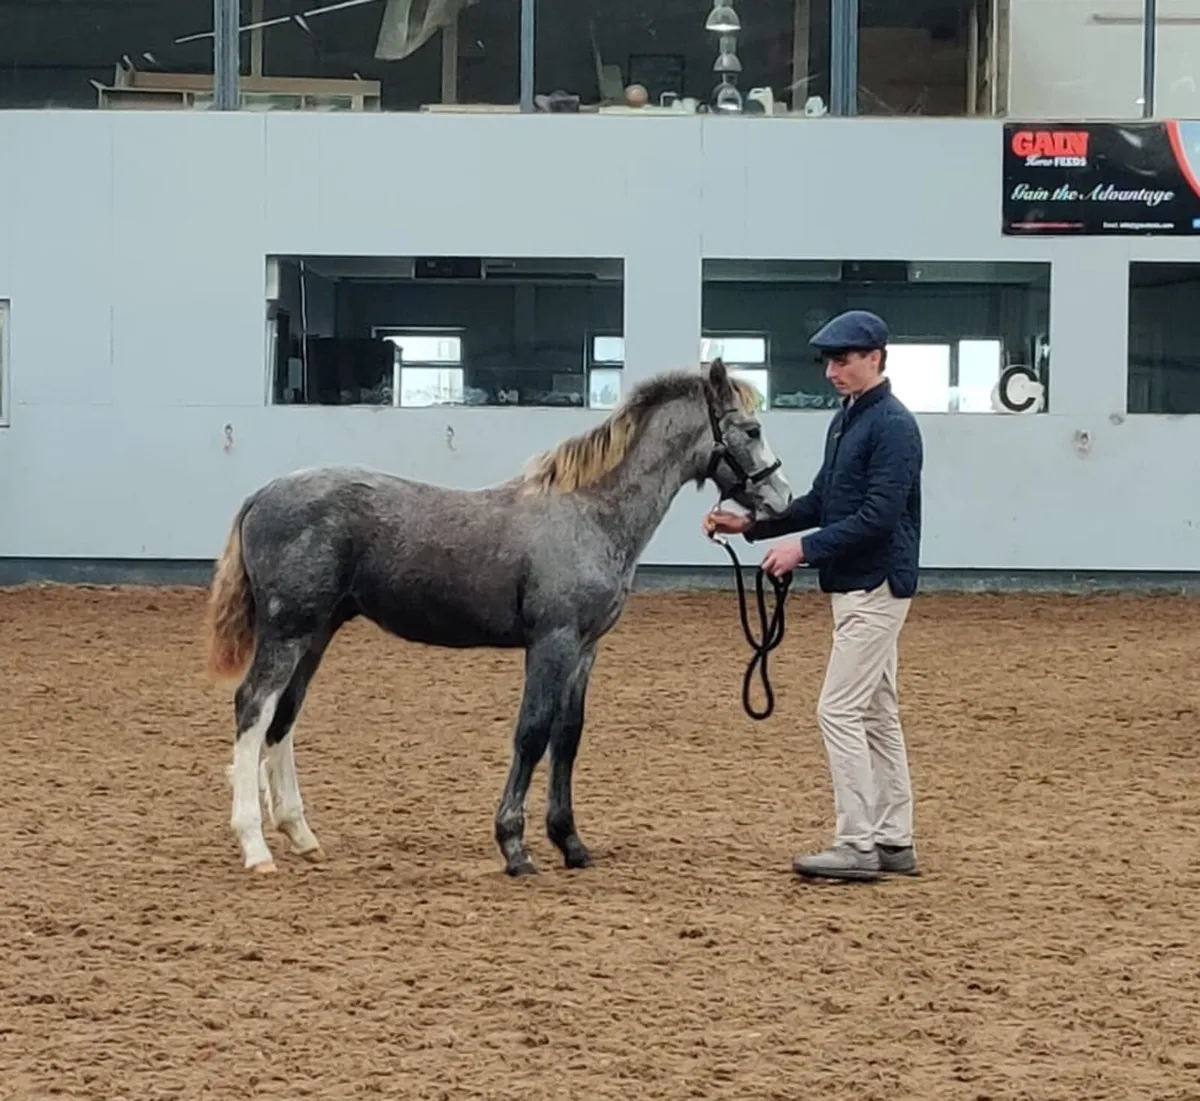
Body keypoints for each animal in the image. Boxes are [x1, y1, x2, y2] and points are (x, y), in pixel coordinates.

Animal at [203, 358, 794, 878]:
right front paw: (515, 848)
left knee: (284, 717)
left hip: (316, 632)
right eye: (751, 429)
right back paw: (255, 847)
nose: (782, 499)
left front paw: (571, 844)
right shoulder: (552, 642)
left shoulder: (584, 649)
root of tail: (262, 494)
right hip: (288, 631)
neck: (589, 513)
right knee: (253, 707)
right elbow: (532, 734)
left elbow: (567, 736)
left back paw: (301, 835)